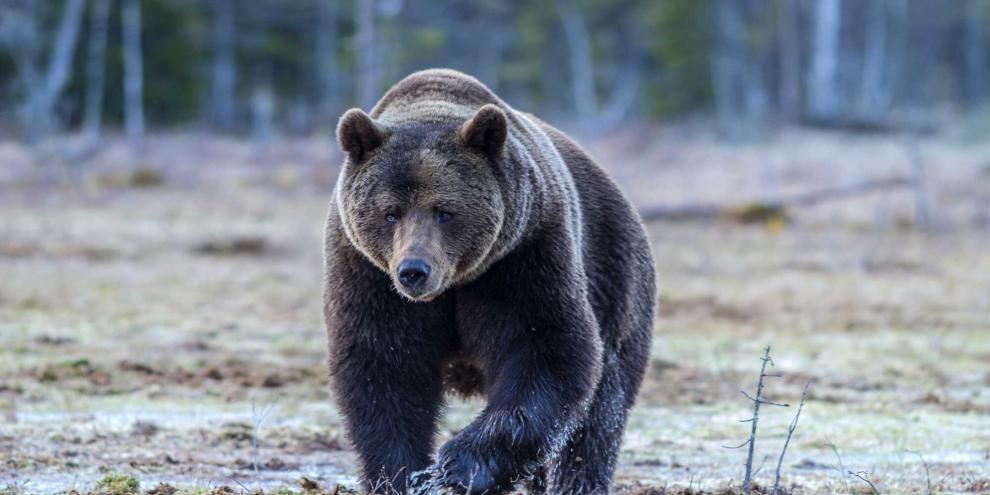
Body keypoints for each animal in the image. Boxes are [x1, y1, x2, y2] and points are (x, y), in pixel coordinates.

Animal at [324, 69, 656, 494]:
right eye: (390, 213)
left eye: (445, 211)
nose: (414, 270)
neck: (454, 284)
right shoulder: (368, 275)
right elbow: (384, 366)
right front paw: (405, 474)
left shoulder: (521, 258)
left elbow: (546, 347)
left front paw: (458, 465)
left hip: (615, 277)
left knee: (601, 412)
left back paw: (577, 481)